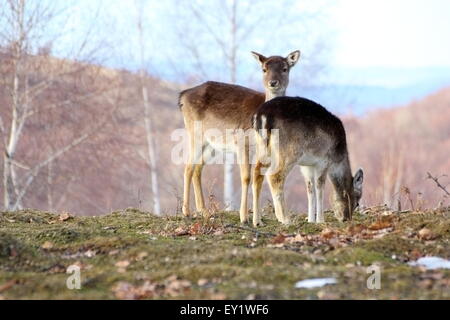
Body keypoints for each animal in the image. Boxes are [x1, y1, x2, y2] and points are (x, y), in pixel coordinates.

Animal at [178, 51, 300, 224]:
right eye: (264, 69)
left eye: (285, 68)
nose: (273, 82)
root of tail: (182, 96)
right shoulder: (241, 141)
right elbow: (246, 177)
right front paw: (244, 217)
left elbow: (260, 176)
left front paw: (262, 219)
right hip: (195, 133)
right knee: (188, 167)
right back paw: (186, 211)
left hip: (212, 144)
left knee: (198, 168)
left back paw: (204, 211)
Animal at [251, 96, 364, 226]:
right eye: (357, 202)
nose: (346, 218)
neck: (337, 160)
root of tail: (261, 115)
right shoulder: (323, 161)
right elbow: (319, 187)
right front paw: (320, 220)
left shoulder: (306, 166)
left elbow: (310, 189)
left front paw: (311, 220)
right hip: (288, 152)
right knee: (274, 176)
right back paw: (285, 219)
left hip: (262, 148)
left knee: (257, 172)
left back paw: (257, 221)